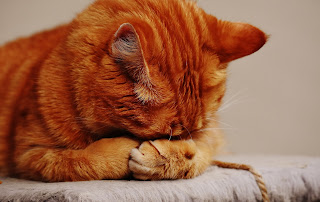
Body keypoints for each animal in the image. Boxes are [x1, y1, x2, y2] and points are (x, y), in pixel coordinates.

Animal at [0, 0, 264, 182]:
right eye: (166, 133)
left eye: (190, 132)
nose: (172, 144)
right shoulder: (30, 155)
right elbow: (79, 160)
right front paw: (125, 150)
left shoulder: (213, 134)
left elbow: (200, 153)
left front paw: (167, 158)